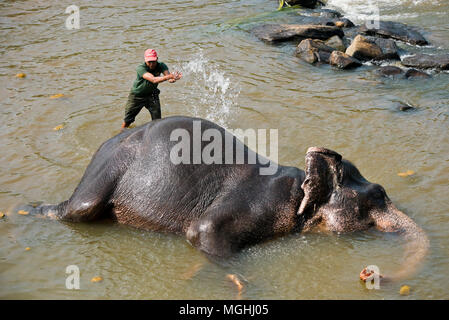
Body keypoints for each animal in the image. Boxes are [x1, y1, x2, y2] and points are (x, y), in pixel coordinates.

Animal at [23, 115, 428, 282]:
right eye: (378, 196)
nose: (367, 273)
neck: (299, 184)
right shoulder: (260, 202)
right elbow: (201, 232)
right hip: (104, 174)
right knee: (77, 210)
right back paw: (28, 210)